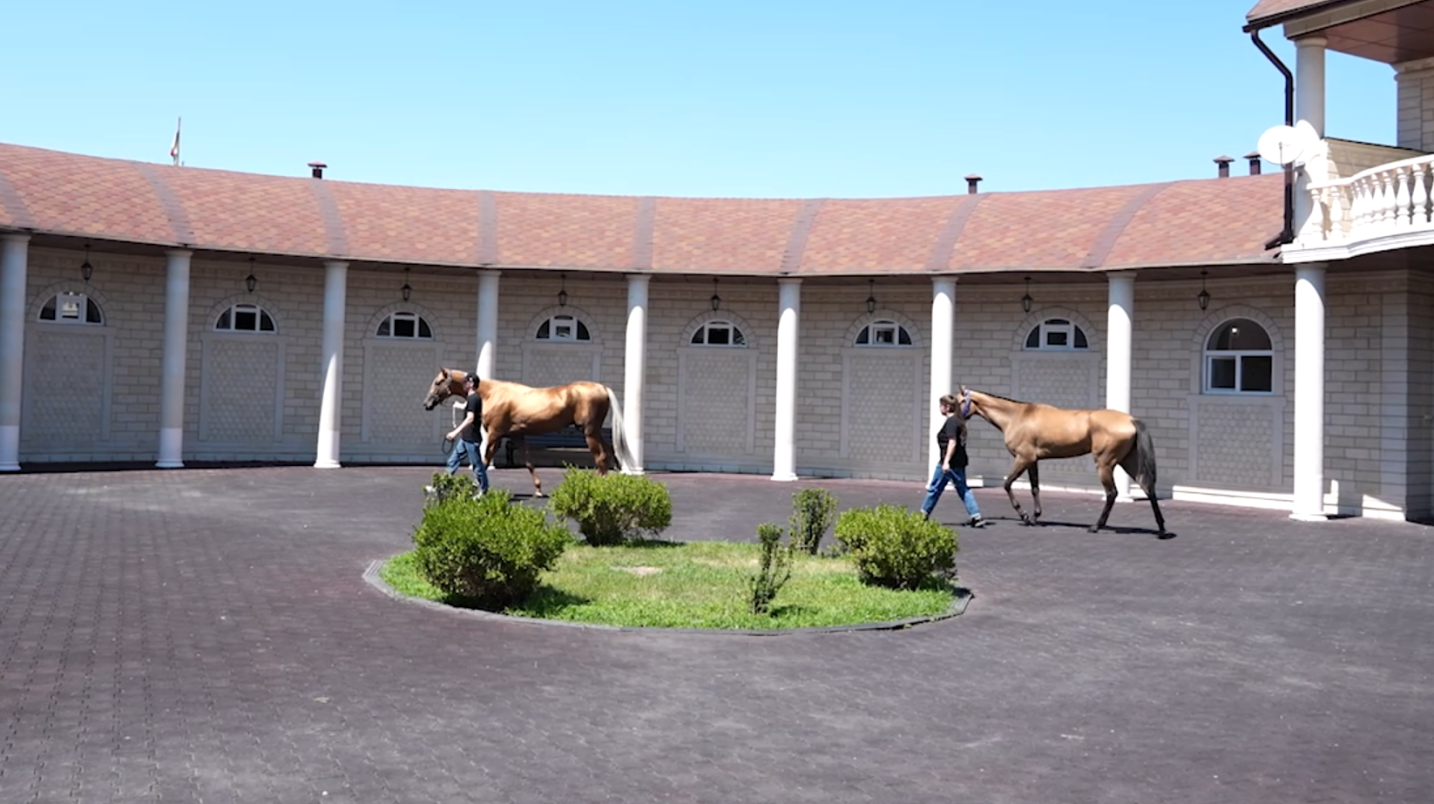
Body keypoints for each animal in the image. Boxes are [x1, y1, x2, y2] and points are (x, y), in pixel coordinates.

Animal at [418, 369, 633, 495]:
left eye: (437, 382)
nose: (426, 404)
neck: (492, 394)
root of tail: (603, 388)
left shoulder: (495, 434)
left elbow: (484, 461)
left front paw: (477, 488)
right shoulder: (516, 435)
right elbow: (529, 462)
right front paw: (538, 489)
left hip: (589, 432)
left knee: (601, 457)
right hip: (595, 431)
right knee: (609, 454)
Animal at [952, 386, 1164, 536]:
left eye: (959, 401)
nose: (950, 415)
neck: (1016, 417)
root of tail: (1131, 420)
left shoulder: (1023, 458)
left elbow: (1007, 484)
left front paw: (1025, 515)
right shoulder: (1032, 461)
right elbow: (1035, 488)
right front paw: (1035, 517)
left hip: (1105, 464)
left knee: (1112, 493)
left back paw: (1096, 526)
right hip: (1128, 461)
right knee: (1147, 487)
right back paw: (1161, 529)